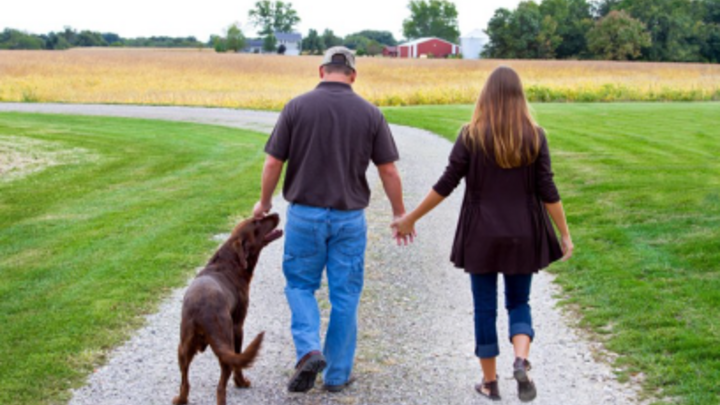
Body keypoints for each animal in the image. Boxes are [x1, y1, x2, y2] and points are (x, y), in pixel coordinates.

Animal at [174, 213, 284, 402]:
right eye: (256, 222)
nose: (276, 214)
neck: (231, 261)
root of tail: (200, 313)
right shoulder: (238, 326)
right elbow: (238, 363)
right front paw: (241, 383)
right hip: (226, 342)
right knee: (221, 386)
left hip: (182, 348)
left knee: (185, 384)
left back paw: (180, 399)